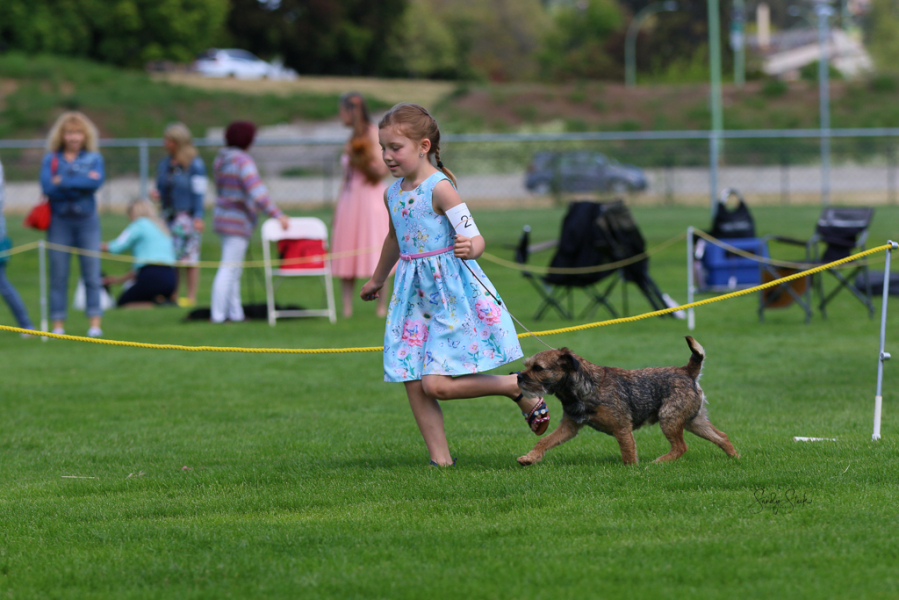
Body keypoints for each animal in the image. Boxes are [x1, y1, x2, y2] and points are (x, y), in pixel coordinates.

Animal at [516, 336, 739, 466]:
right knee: (721, 436)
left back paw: (658, 463)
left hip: (669, 418)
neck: (587, 386)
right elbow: (545, 440)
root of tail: (687, 371)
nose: (518, 377)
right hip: (694, 421)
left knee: (680, 447)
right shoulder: (569, 426)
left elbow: (627, 451)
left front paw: (631, 470)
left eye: (538, 368)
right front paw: (529, 457)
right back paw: (735, 458)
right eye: (526, 365)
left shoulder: (622, 427)